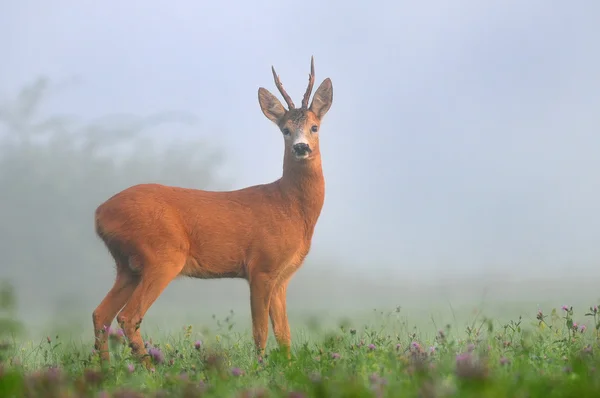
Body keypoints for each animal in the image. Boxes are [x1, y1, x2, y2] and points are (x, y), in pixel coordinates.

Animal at [91, 56, 332, 366]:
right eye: (285, 129)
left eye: (314, 127)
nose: (301, 148)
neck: (289, 207)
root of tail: (100, 213)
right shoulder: (261, 267)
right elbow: (261, 331)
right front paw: (259, 369)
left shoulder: (282, 277)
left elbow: (284, 334)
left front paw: (288, 369)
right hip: (162, 254)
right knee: (128, 317)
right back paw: (150, 369)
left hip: (128, 265)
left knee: (101, 314)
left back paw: (107, 368)